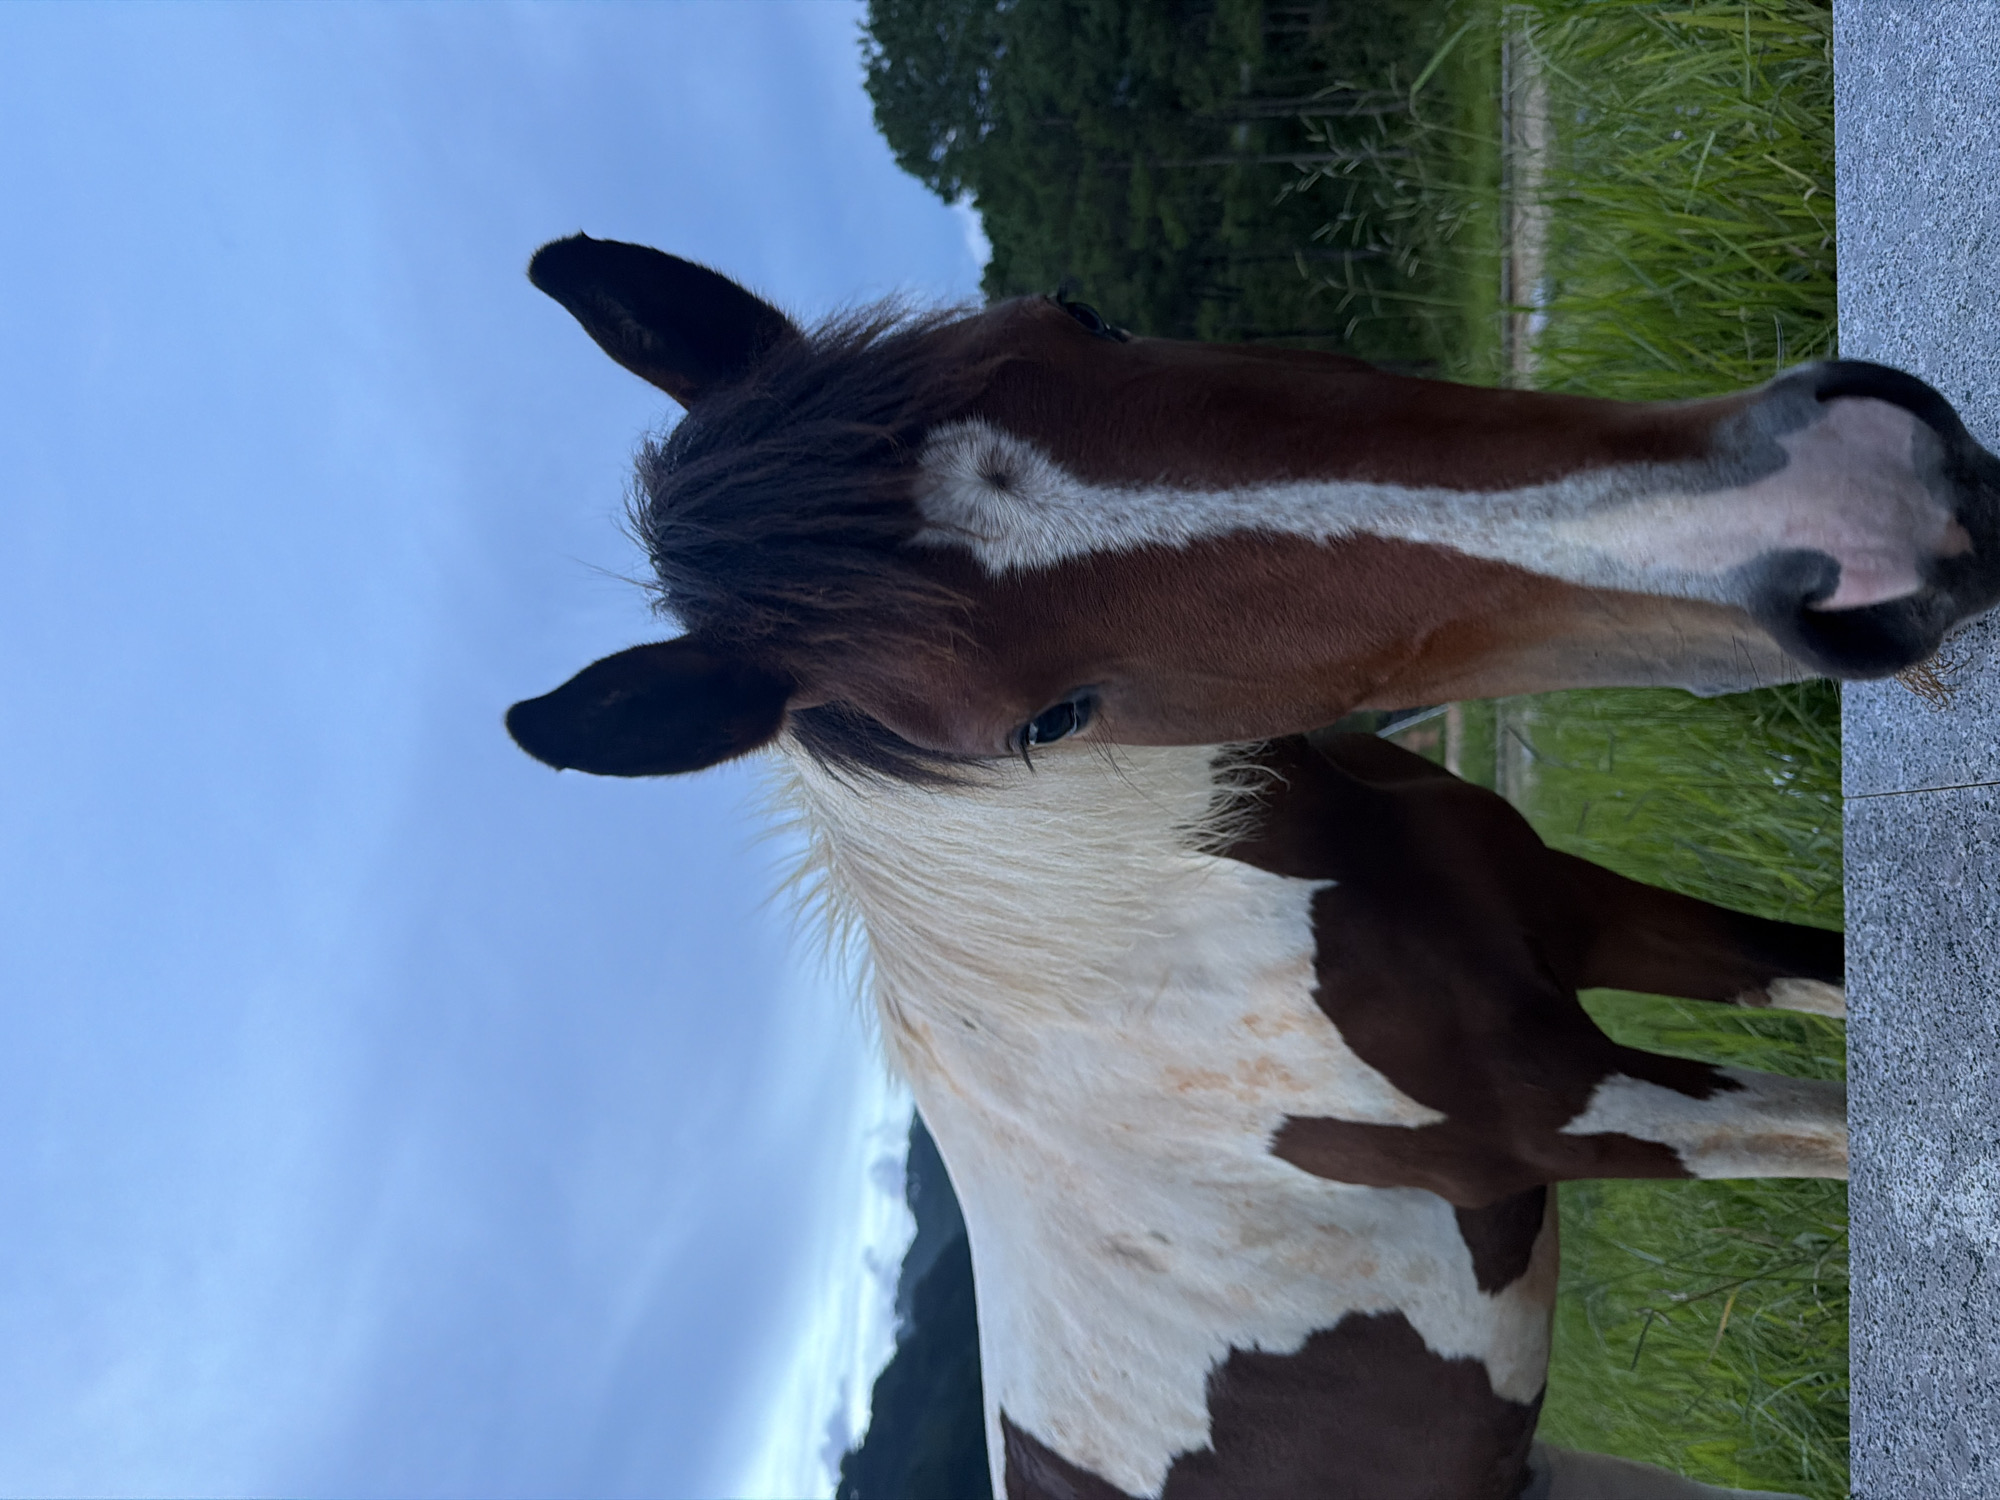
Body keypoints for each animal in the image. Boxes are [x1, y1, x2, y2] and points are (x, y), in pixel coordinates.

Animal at [505, 236, 1989, 1498]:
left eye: (1076, 311)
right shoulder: (1571, 1113)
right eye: (1046, 722)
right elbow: (1830, 1125)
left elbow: (1807, 975)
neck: (1162, 942)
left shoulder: (1584, 915)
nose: (1856, 497)